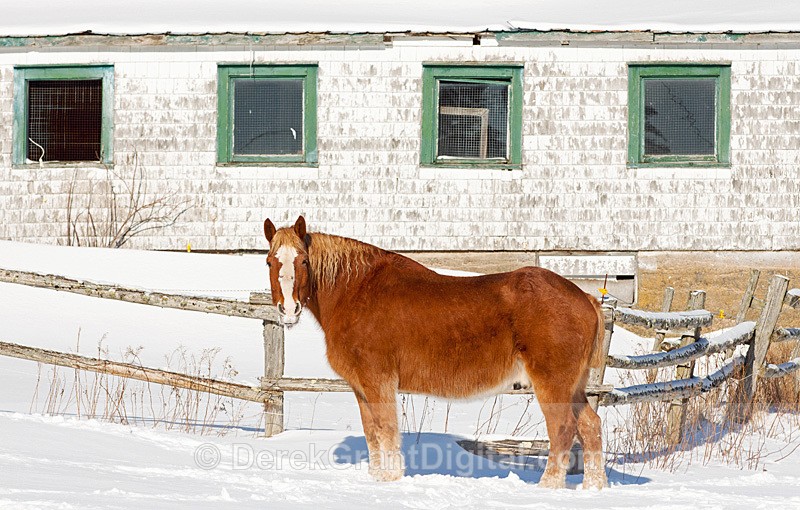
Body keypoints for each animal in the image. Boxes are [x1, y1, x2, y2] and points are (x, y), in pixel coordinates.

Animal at [262, 215, 607, 489]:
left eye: (303, 261)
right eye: (269, 261)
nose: (288, 310)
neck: (358, 291)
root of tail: (585, 297)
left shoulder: (379, 381)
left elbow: (386, 430)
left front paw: (390, 479)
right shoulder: (361, 387)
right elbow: (372, 433)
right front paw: (377, 479)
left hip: (553, 384)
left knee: (563, 430)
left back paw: (548, 487)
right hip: (574, 387)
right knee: (590, 427)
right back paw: (593, 487)